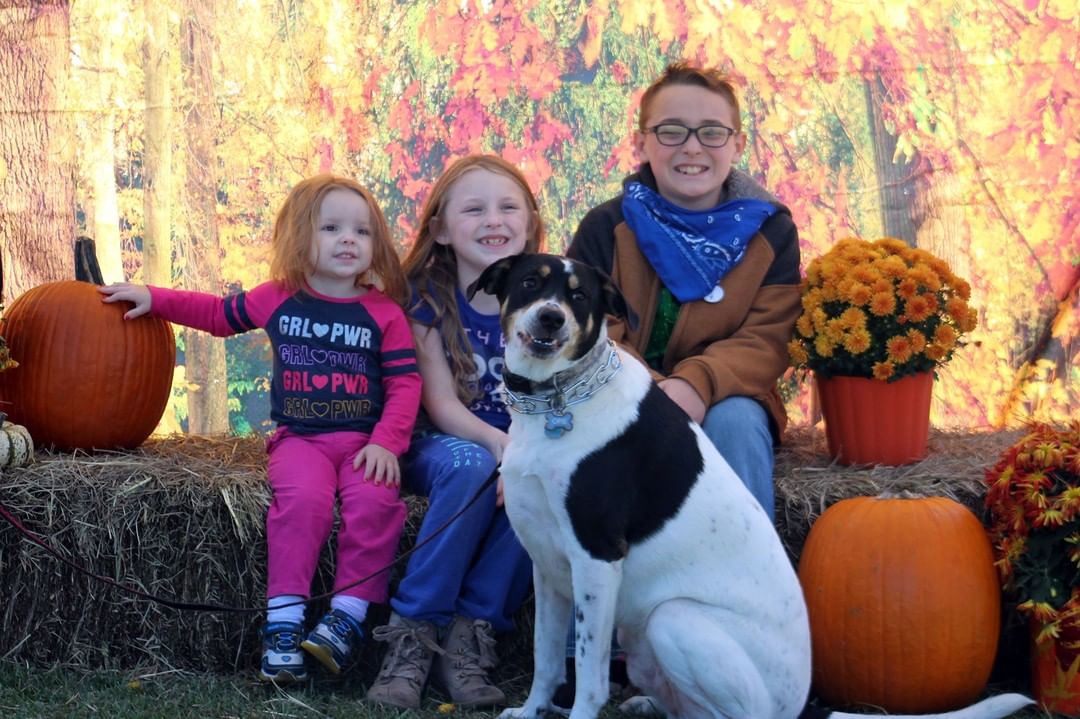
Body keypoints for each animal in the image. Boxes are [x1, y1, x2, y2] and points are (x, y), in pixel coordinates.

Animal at [473, 253, 1028, 716]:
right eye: (530, 283)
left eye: (580, 296)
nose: (551, 318)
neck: (559, 399)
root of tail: (803, 705)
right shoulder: (548, 565)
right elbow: (546, 659)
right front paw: (531, 712)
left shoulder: (597, 558)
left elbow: (588, 676)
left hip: (673, 619)